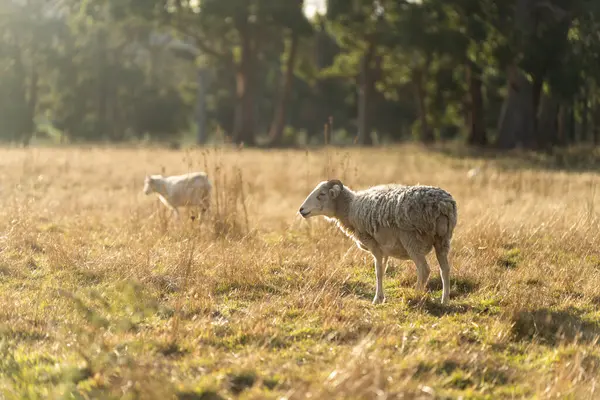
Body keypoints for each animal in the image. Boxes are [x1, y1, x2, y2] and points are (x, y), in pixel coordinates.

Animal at [298, 180, 458, 304]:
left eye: (321, 194)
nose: (301, 210)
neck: (350, 209)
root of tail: (443, 205)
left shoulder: (374, 245)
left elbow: (378, 272)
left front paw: (376, 299)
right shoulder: (384, 249)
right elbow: (383, 270)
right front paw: (381, 297)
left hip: (412, 240)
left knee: (424, 270)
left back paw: (415, 296)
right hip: (442, 240)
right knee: (445, 270)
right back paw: (445, 300)